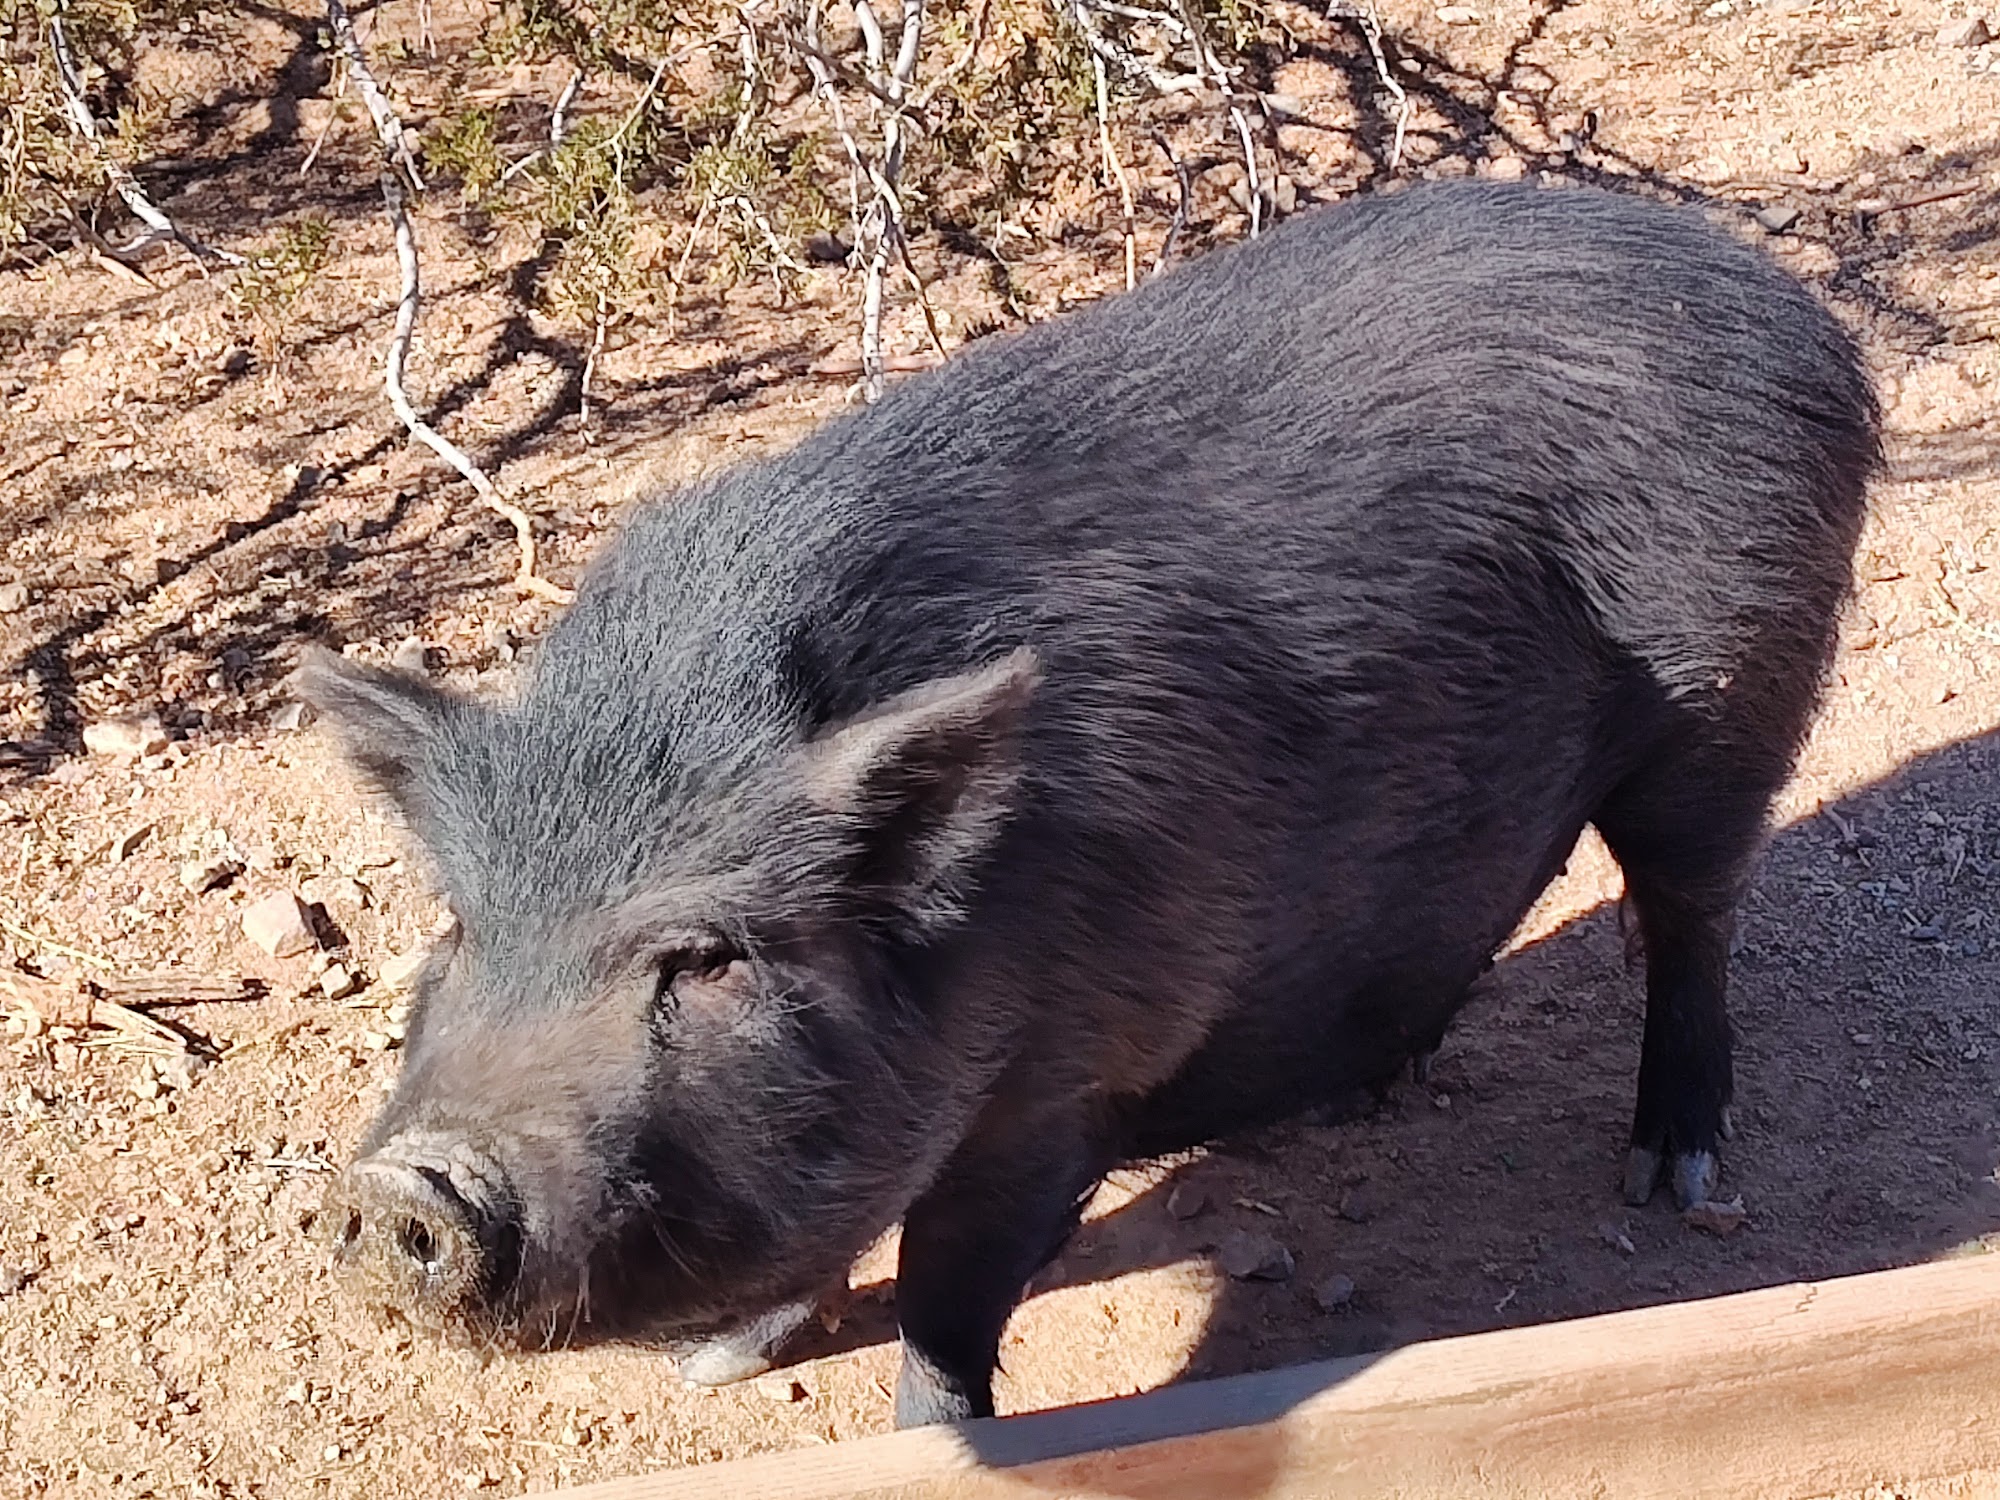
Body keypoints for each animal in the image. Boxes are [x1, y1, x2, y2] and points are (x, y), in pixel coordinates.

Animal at [302, 180, 1879, 1427]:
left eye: (705, 959)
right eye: (463, 930)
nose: (405, 1187)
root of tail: (1779, 298)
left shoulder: (1072, 1071)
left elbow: (947, 1303)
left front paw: (921, 1434)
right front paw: (722, 1364)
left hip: (1730, 689)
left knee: (1689, 915)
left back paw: (1669, 1176)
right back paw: (1361, 1092)